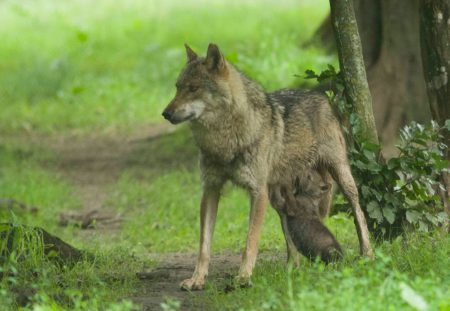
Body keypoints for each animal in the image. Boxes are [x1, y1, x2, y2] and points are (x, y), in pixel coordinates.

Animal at [162, 43, 372, 290]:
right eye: (177, 88)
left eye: (193, 88)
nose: (165, 113)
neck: (224, 140)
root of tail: (321, 95)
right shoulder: (211, 190)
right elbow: (204, 245)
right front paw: (197, 279)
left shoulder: (257, 192)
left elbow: (250, 242)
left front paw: (244, 277)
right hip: (279, 196)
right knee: (294, 226)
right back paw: (293, 266)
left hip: (341, 177)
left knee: (358, 212)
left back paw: (367, 254)